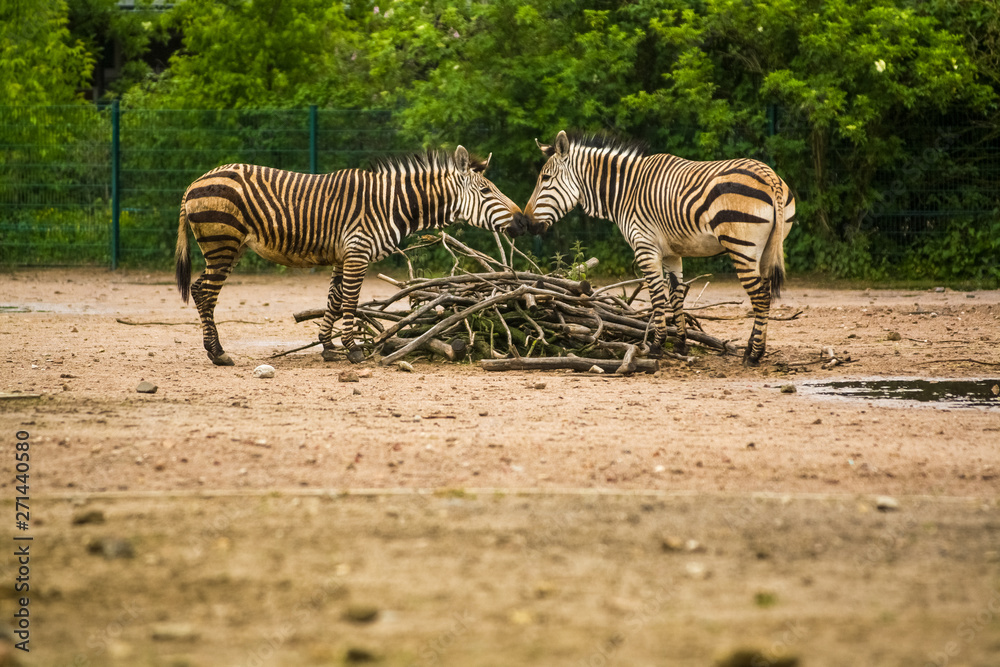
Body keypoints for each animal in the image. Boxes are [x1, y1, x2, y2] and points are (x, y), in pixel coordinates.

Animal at [176, 146, 522, 365]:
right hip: (222, 243)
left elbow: (333, 299)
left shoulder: (343, 256)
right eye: (487, 192)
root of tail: (195, 181)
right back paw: (218, 354)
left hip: (229, 247)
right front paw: (353, 350)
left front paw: (328, 347)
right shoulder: (358, 252)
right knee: (206, 294)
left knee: (198, 288)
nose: (523, 222)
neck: (390, 204)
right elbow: (351, 302)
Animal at [518, 130, 795, 365]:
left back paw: (754, 355)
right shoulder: (672, 253)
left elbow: (657, 296)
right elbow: (676, 295)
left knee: (760, 296)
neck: (627, 191)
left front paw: (656, 346)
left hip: (742, 247)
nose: (525, 223)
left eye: (545, 179)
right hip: (765, 249)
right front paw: (681, 344)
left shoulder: (645, 247)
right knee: (764, 294)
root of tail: (770, 177)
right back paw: (752, 349)